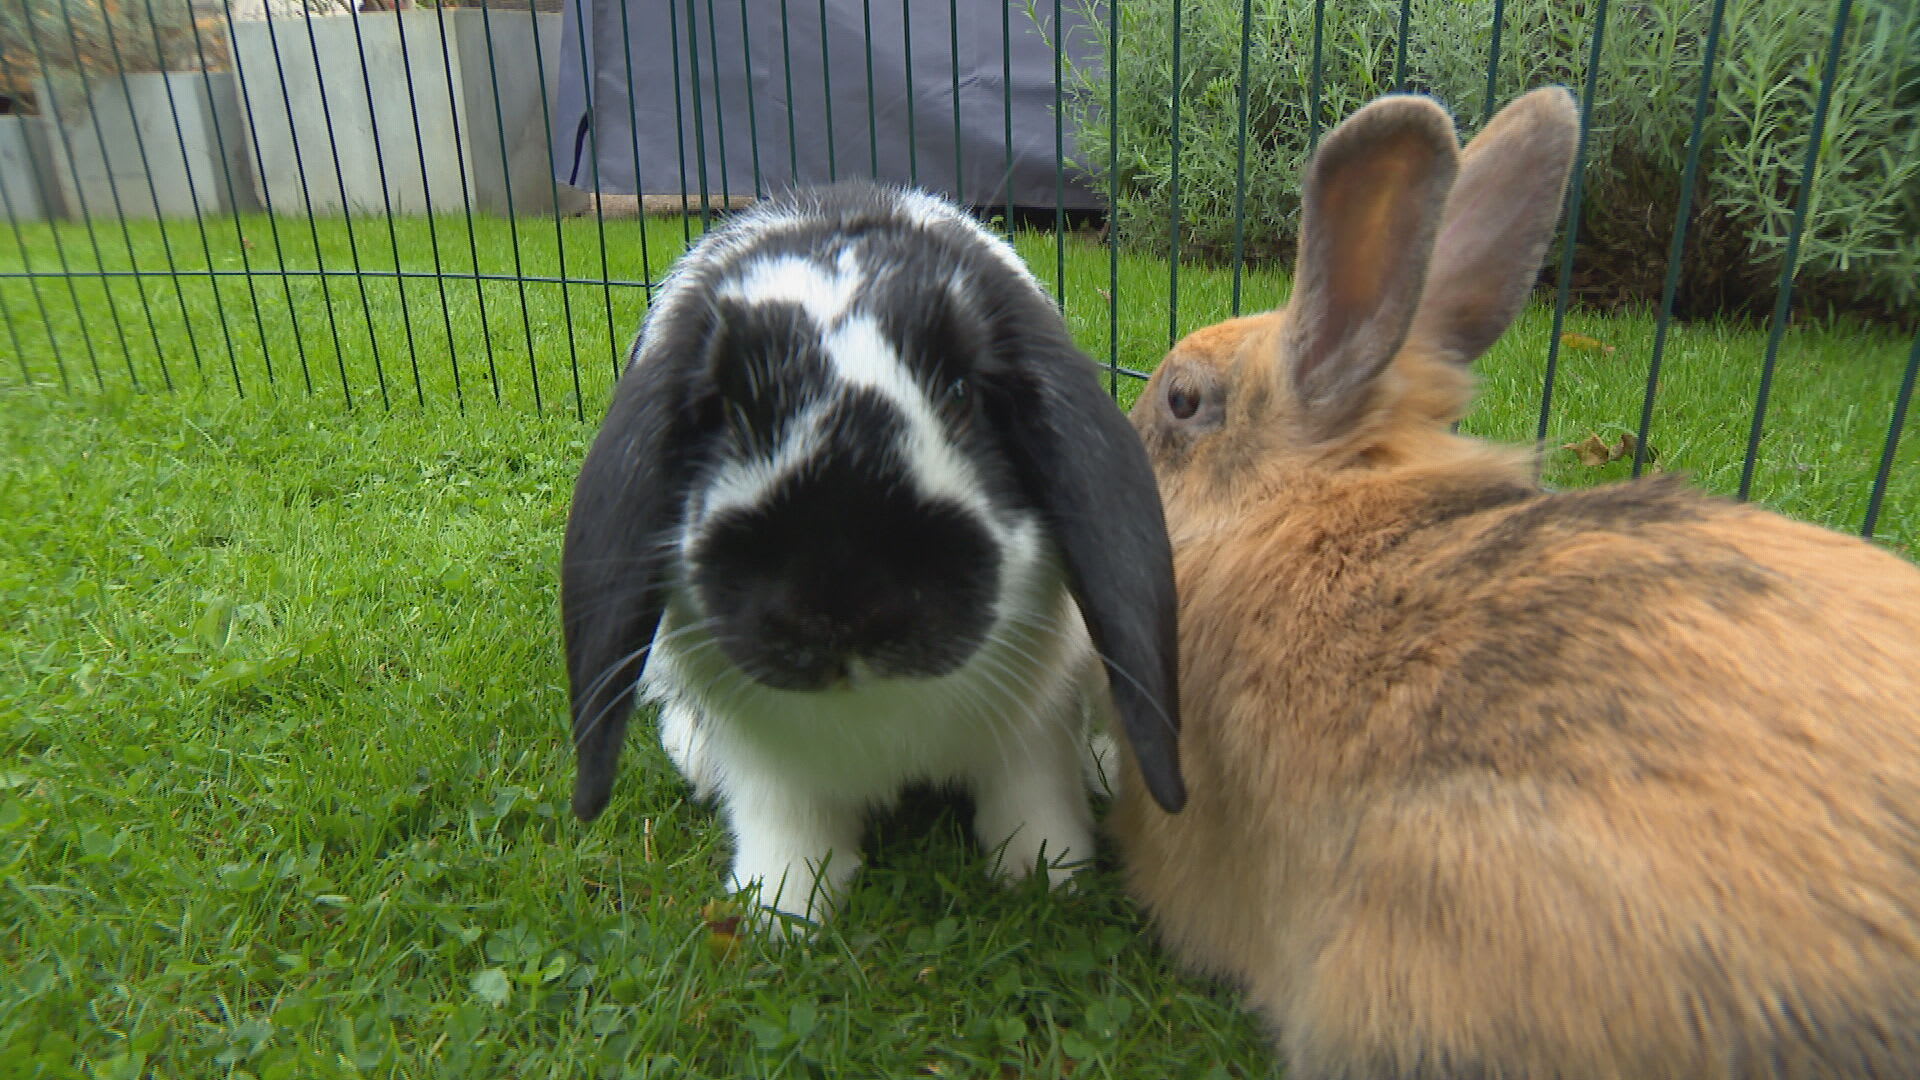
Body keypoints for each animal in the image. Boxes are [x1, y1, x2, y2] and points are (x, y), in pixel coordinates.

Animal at [560, 182, 1182, 926]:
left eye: (962, 393)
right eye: (729, 412)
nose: (839, 608)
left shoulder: (1036, 719)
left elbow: (1033, 796)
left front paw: (1047, 877)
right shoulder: (769, 759)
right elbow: (786, 821)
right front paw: (782, 909)